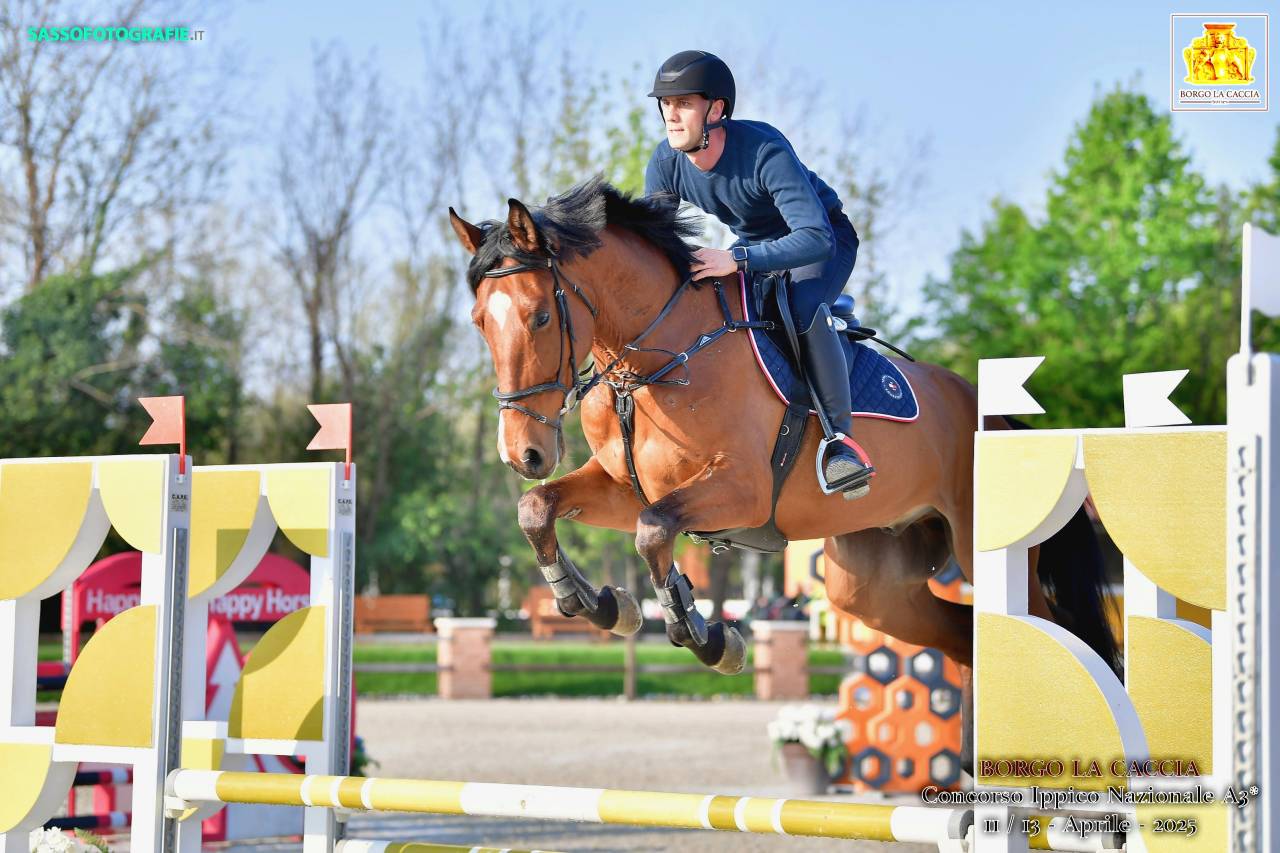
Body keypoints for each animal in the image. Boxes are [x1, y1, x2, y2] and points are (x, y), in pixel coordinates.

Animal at [448, 177, 1118, 715]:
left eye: (539, 317)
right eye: (481, 323)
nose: (524, 455)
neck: (655, 361)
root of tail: (997, 419)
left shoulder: (740, 492)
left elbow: (654, 531)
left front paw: (709, 639)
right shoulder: (623, 486)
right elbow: (538, 509)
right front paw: (598, 604)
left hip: (989, 551)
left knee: (1047, 634)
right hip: (873, 582)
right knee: (961, 637)